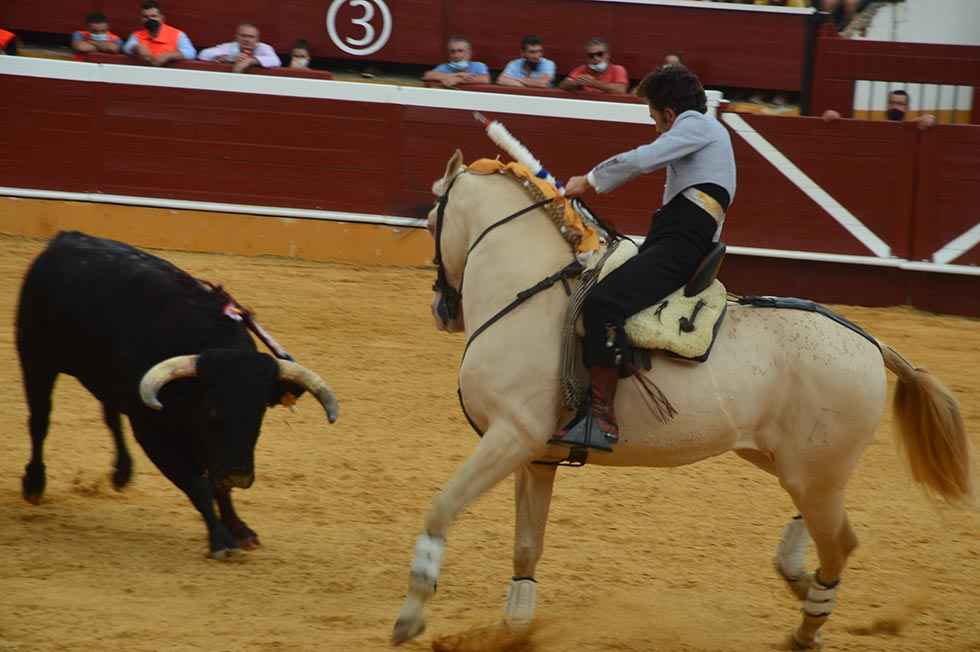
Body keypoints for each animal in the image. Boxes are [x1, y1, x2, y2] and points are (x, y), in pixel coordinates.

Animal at [12, 232, 336, 556]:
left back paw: (121, 472)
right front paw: (221, 540)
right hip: (36, 359)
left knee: (110, 414)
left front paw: (240, 529)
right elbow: (199, 485)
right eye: (212, 409)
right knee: (39, 421)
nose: (239, 475)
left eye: (260, 412)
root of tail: (64, 238)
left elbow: (217, 485)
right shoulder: (153, 434)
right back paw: (34, 484)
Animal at [392, 152, 972, 648]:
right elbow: (526, 547)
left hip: (811, 469)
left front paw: (410, 617)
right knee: (830, 529)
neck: (530, 296)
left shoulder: (510, 436)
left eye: (431, 224)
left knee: (840, 542)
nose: (442, 310)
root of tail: (872, 343)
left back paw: (806, 627)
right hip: (784, 460)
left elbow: (441, 507)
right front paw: (512, 632)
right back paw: (801, 585)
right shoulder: (537, 457)